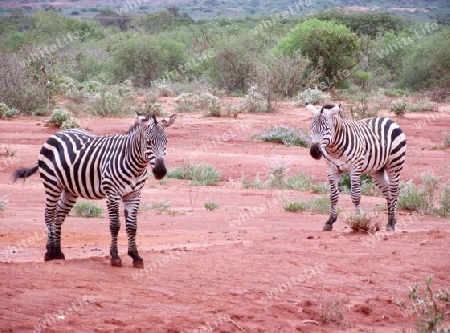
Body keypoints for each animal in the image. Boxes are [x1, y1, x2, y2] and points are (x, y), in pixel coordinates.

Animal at [14, 113, 176, 268]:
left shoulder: (134, 195)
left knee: (59, 215)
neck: (135, 165)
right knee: (49, 214)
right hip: (52, 183)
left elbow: (132, 227)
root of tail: (57, 133)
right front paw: (115, 257)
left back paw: (57, 252)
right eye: (148, 142)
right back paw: (49, 252)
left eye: (166, 142)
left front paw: (135, 256)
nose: (160, 171)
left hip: (70, 190)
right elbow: (115, 225)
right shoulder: (112, 194)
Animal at [306, 101, 408, 231]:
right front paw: (330, 221)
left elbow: (355, 195)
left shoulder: (355, 169)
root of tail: (387, 119)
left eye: (327, 128)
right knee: (388, 193)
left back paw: (391, 224)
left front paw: (359, 220)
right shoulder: (332, 170)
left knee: (394, 191)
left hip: (394, 164)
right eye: (311, 127)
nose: (314, 151)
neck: (334, 149)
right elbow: (333, 196)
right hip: (376, 171)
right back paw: (390, 221)